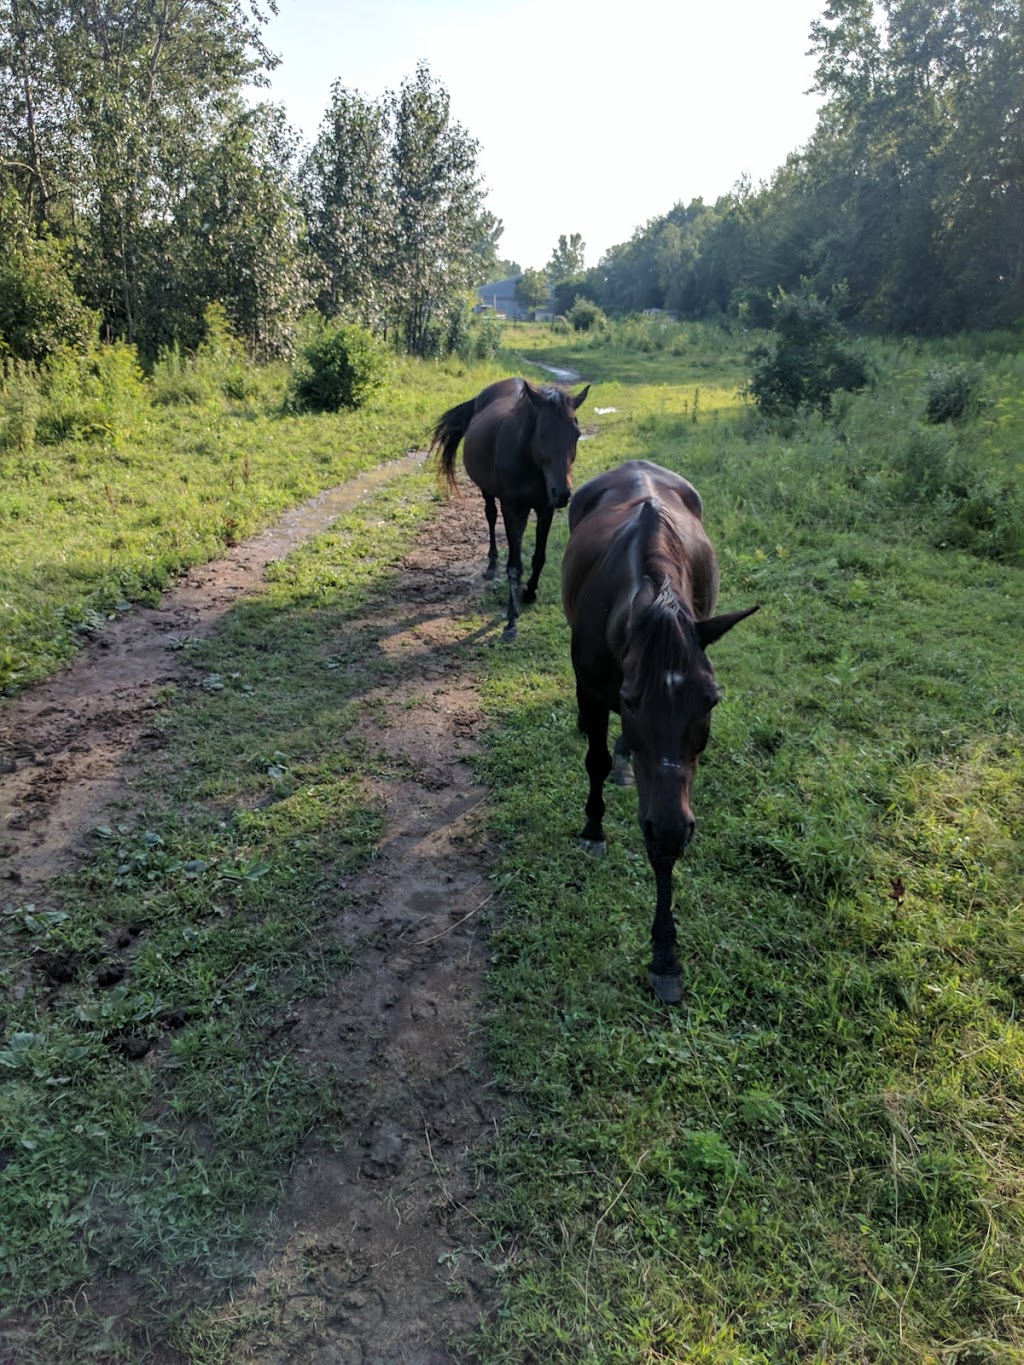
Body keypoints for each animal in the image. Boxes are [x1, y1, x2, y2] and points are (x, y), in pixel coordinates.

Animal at [434, 376, 592, 636]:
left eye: (576, 434)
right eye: (542, 433)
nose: (562, 493)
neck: (528, 461)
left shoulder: (545, 509)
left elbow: (539, 557)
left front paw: (529, 592)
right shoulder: (512, 509)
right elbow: (515, 565)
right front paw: (511, 618)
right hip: (488, 492)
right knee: (490, 516)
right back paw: (491, 564)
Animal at [562, 458, 764, 1004]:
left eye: (711, 700)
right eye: (631, 700)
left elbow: (664, 842)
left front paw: (665, 955)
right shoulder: (595, 692)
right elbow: (596, 762)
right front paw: (593, 828)